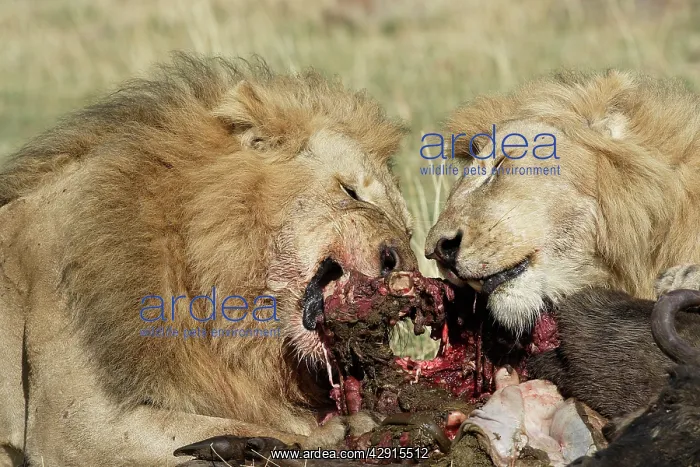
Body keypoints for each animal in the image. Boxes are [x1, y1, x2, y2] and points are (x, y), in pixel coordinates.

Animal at [0, 53, 417, 466]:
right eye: (351, 192)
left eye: (408, 230)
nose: (398, 263)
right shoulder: (72, 424)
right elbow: (243, 426)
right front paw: (342, 430)